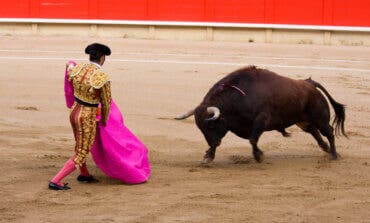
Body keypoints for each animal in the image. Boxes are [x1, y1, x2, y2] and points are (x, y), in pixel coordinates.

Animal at [175, 66, 346, 164]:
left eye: (211, 124)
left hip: (320, 118)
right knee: (314, 132)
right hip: (303, 121)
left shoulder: (261, 120)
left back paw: (334, 155)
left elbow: (253, 139)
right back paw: (327, 149)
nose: (213, 143)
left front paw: (259, 156)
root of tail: (309, 84)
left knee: (329, 132)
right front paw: (208, 156)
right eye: (200, 129)